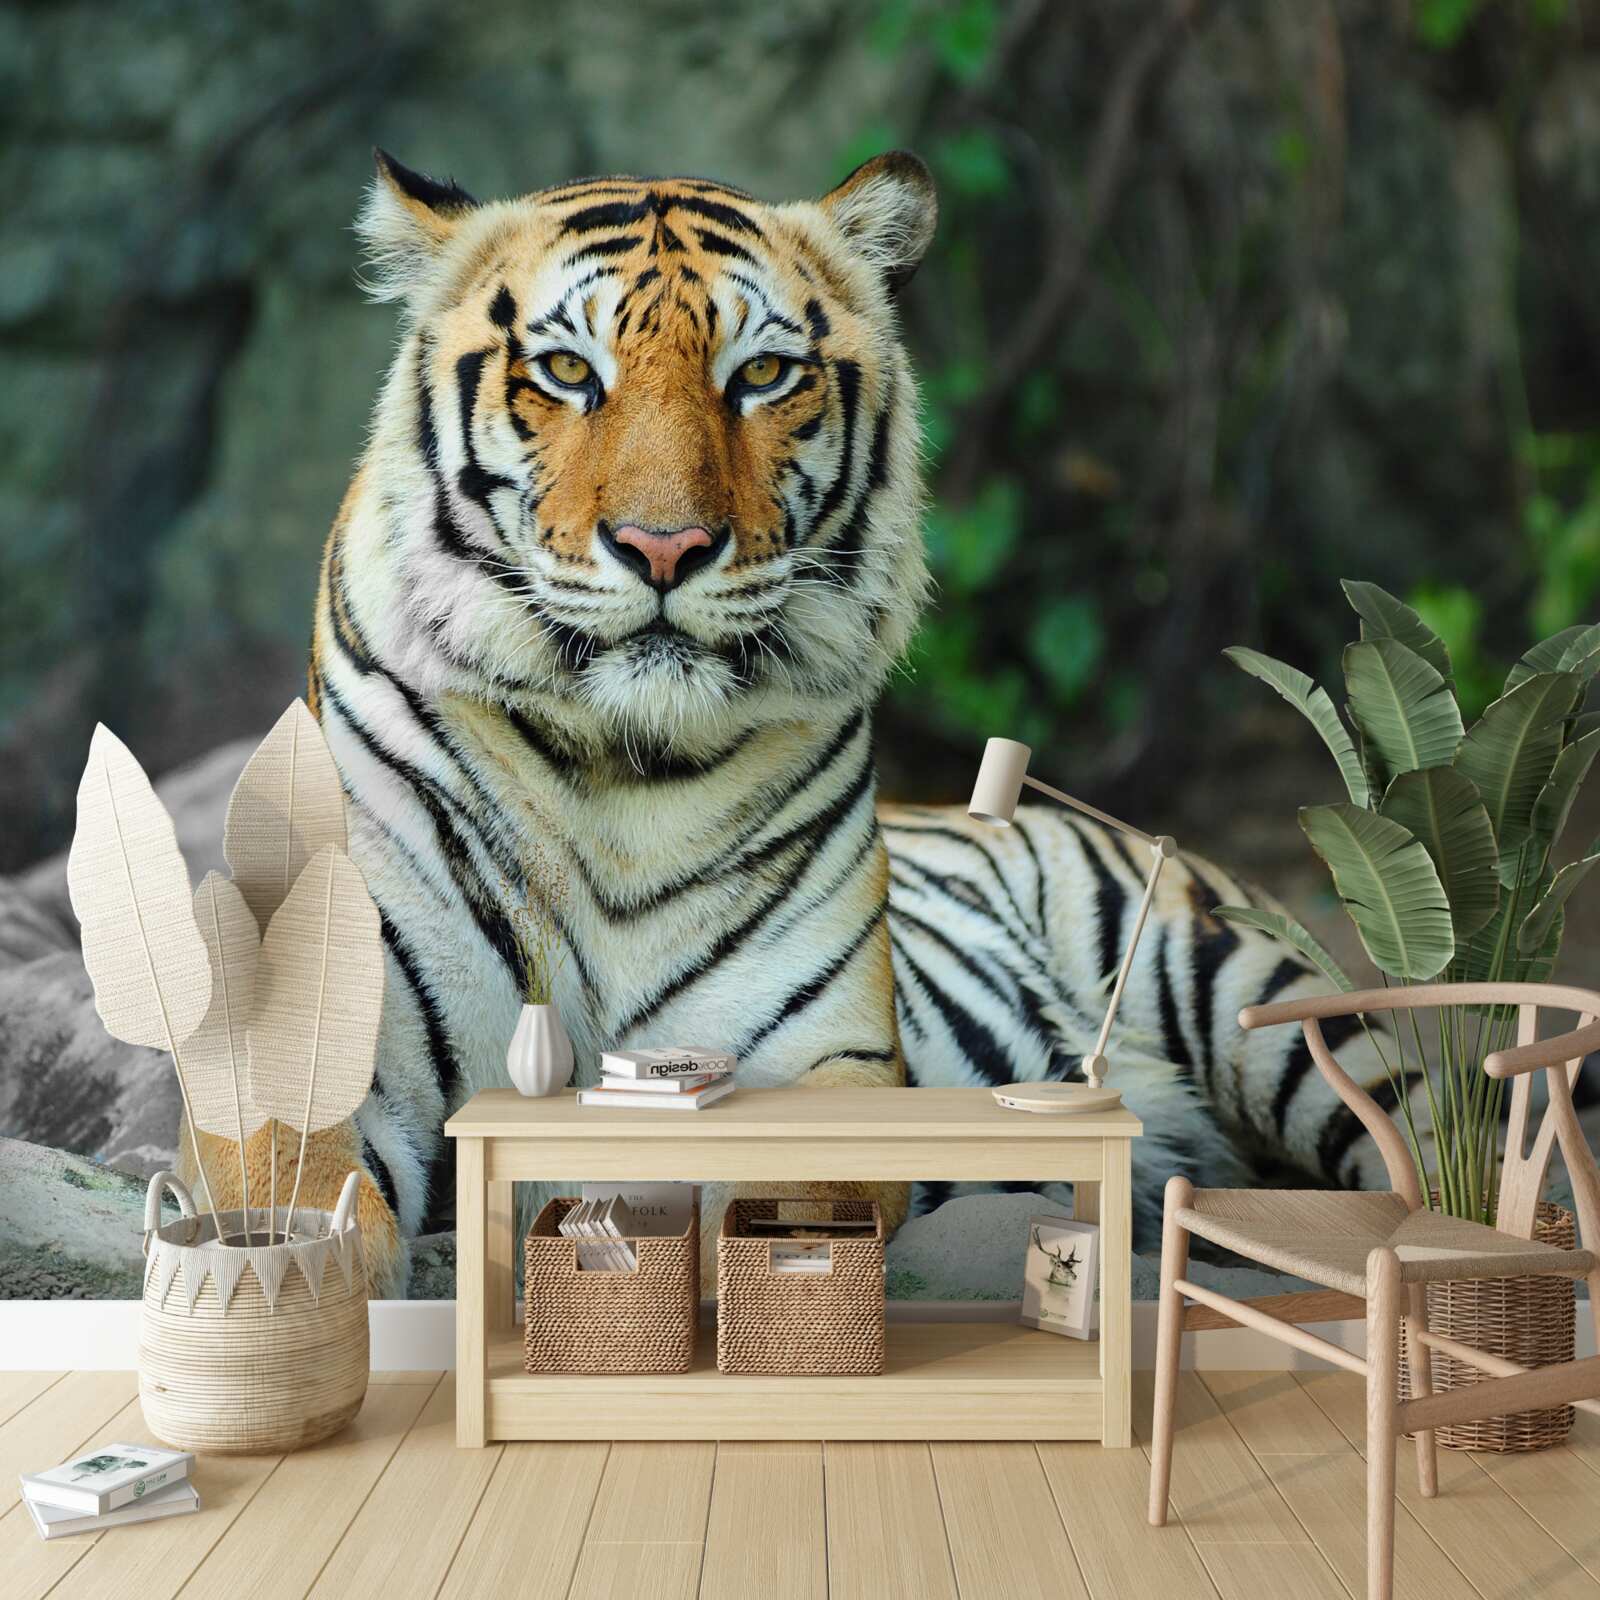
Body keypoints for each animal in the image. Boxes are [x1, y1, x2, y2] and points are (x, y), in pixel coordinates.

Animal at [184, 150, 1414, 1297]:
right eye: (569, 371)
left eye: (762, 374)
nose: (666, 546)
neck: (616, 772)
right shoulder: (315, 1046)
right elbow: (303, 1213)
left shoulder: (826, 1059)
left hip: (1258, 992)